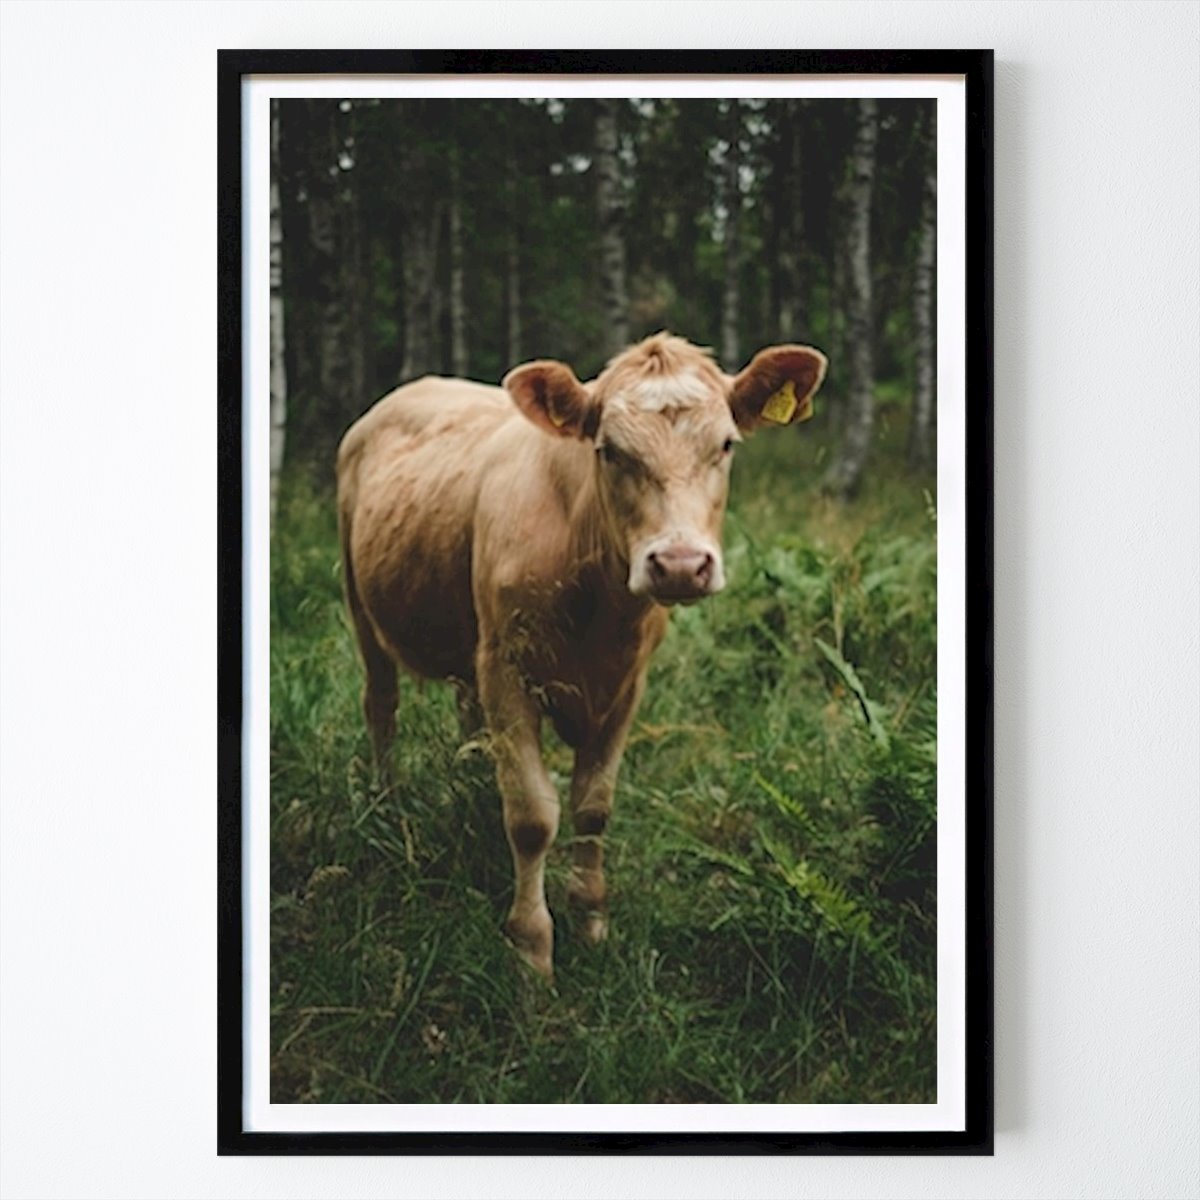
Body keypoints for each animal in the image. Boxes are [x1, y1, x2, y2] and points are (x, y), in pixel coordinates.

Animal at [336, 333, 827, 979]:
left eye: (725, 444)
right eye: (609, 450)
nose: (679, 564)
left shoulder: (625, 685)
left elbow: (593, 805)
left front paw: (591, 918)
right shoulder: (508, 670)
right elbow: (532, 817)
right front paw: (532, 950)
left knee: (467, 719)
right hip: (362, 604)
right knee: (380, 704)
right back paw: (386, 802)